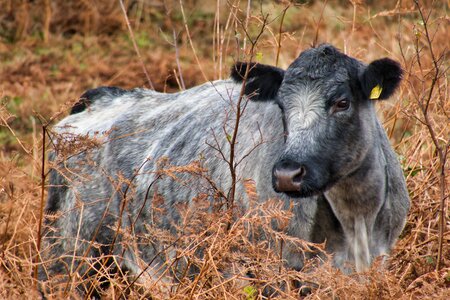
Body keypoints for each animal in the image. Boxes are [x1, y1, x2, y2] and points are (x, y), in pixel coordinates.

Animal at [40, 44, 410, 296]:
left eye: (342, 102)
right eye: (281, 106)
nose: (287, 174)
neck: (356, 218)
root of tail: (103, 99)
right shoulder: (275, 273)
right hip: (69, 254)